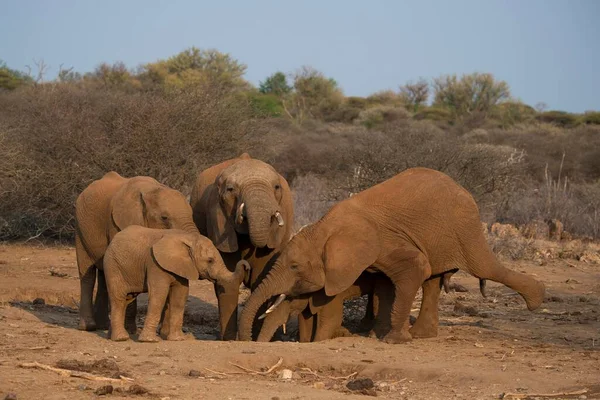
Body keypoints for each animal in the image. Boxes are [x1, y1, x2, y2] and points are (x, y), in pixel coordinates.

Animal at [74, 172, 197, 332]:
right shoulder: (117, 225)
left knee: (103, 275)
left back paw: (104, 325)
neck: (151, 190)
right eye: (164, 218)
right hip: (80, 230)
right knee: (87, 274)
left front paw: (163, 332)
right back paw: (89, 326)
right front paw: (131, 330)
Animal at [103, 227, 246, 342]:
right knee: (119, 299)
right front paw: (150, 340)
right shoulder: (155, 264)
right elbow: (159, 295)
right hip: (113, 266)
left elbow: (180, 297)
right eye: (210, 260)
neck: (188, 238)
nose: (245, 264)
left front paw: (178, 339)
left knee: (126, 300)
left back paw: (112, 337)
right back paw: (121, 338)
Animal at [191, 152, 294, 340]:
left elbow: (261, 277)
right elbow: (228, 278)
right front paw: (229, 340)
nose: (245, 265)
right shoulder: (217, 219)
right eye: (231, 189)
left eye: (276, 187)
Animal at [238, 168, 544, 344]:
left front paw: (392, 340)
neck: (324, 228)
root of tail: (463, 189)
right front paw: (380, 334)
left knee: (484, 267)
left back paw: (536, 299)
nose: (247, 342)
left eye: (294, 266)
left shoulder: (384, 241)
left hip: (465, 226)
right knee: (433, 281)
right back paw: (422, 335)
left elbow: (415, 269)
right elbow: (387, 285)